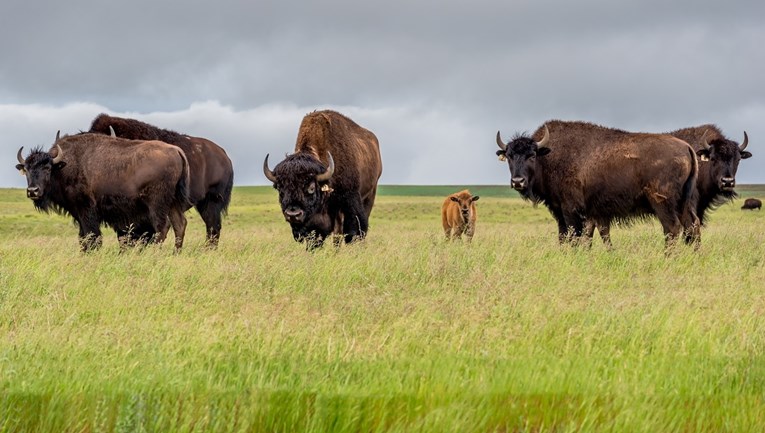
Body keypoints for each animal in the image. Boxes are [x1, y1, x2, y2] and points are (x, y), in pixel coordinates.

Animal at [15, 132, 191, 250]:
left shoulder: (86, 211)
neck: (64, 166)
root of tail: (176, 150)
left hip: (157, 204)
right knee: (179, 224)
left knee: (162, 227)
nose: (32, 191)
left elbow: (91, 236)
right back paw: (175, 253)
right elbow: (83, 237)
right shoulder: (79, 214)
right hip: (174, 202)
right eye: (27, 169)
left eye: (47, 168)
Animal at [262, 109, 382, 248]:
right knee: (337, 233)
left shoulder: (350, 199)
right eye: (280, 189)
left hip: (370, 193)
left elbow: (353, 231)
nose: (293, 214)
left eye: (311, 188)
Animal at [496, 120, 700, 248]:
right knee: (692, 225)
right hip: (685, 202)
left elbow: (574, 236)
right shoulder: (581, 212)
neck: (548, 156)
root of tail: (686, 147)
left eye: (531, 155)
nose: (517, 181)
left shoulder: (570, 210)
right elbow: (574, 236)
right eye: (509, 156)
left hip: (662, 203)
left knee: (672, 228)